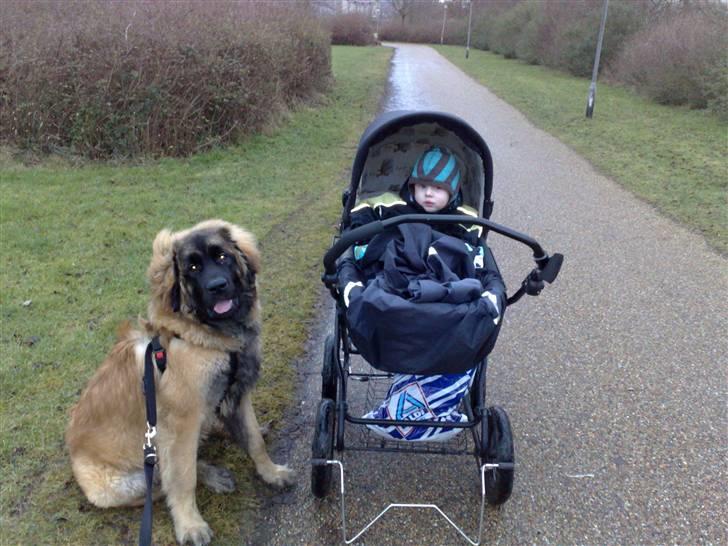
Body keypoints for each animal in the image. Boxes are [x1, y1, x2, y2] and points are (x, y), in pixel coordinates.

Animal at [67, 219, 294, 540]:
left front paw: (271, 473)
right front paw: (190, 525)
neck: (203, 335)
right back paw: (211, 475)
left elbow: (253, 441)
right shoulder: (181, 423)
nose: (217, 287)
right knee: (163, 480)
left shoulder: (238, 394)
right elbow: (184, 477)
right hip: (121, 483)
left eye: (222, 257)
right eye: (193, 268)